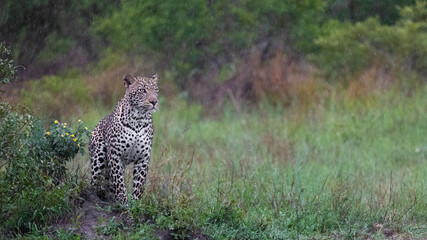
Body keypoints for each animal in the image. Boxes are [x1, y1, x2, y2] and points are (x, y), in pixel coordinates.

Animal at [88, 73, 159, 202]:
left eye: (155, 90)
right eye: (142, 90)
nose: (154, 101)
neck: (138, 119)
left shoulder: (143, 158)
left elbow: (138, 185)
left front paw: (135, 203)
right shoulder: (115, 155)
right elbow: (119, 182)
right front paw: (123, 202)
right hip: (98, 157)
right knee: (94, 182)